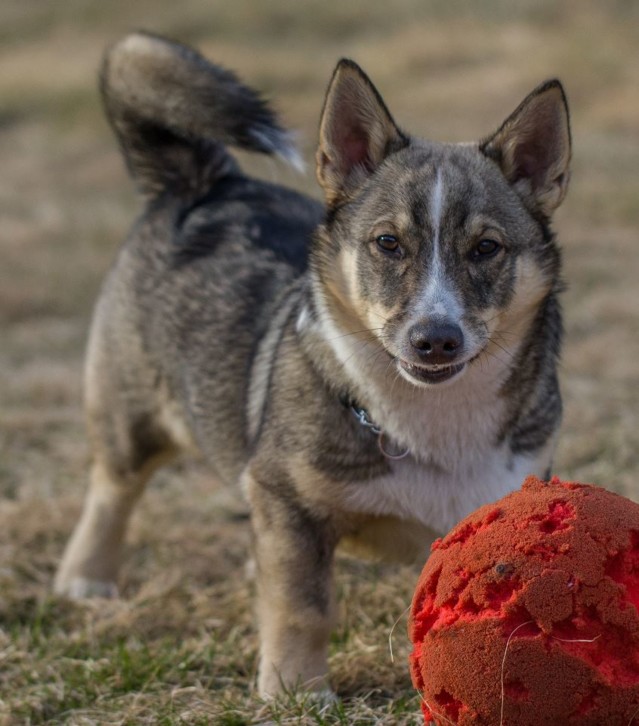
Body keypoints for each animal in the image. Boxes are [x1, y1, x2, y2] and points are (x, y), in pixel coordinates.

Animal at [56, 32, 568, 700]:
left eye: (486, 248)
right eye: (387, 244)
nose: (435, 341)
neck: (430, 417)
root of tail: (204, 180)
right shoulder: (287, 503)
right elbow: (304, 604)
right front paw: (295, 690)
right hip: (130, 417)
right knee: (111, 489)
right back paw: (85, 577)